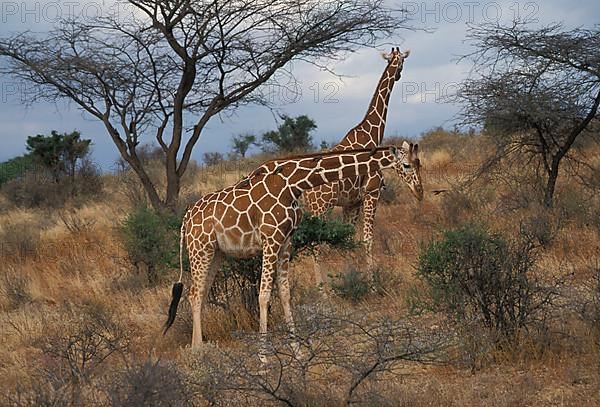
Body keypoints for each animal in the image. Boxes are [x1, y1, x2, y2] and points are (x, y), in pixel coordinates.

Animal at [162, 145, 420, 350]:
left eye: (419, 164)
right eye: (407, 165)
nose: (420, 192)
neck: (293, 183)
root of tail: (185, 219)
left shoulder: (286, 242)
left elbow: (285, 294)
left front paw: (297, 352)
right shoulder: (271, 240)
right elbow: (264, 296)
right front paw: (264, 361)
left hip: (216, 253)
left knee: (199, 293)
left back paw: (198, 346)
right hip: (200, 249)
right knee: (194, 294)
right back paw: (198, 350)